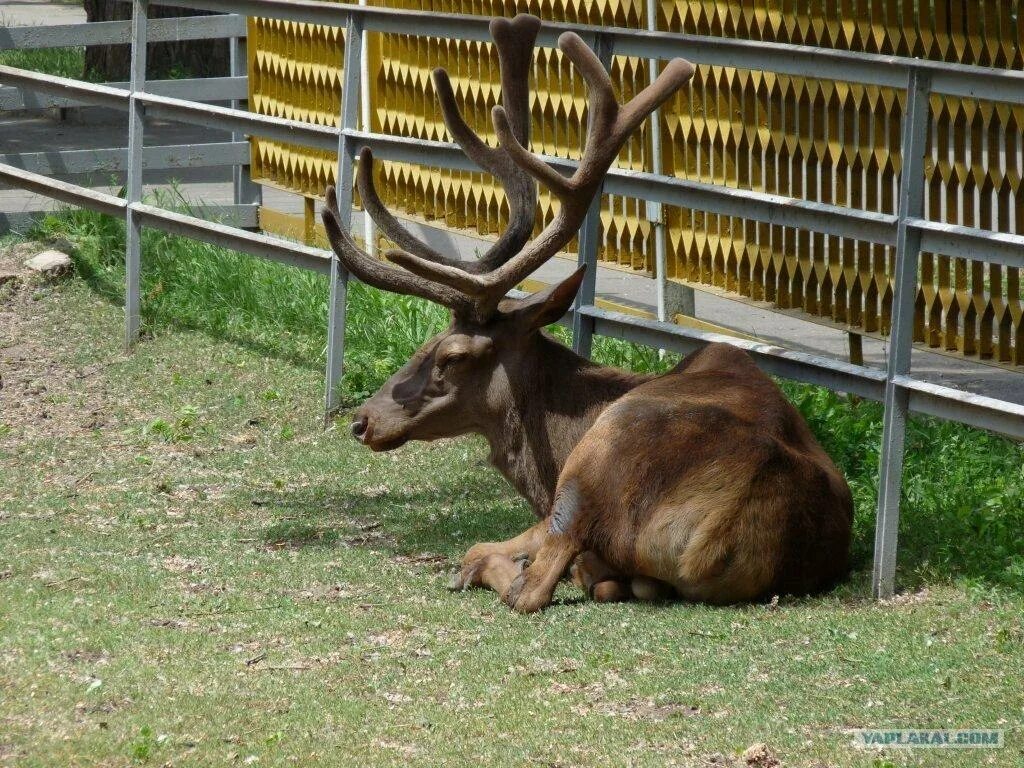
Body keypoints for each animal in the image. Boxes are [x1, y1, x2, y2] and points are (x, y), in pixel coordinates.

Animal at [321, 13, 856, 614]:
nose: (363, 421)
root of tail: (716, 532)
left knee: (528, 582)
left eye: (453, 356)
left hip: (598, 463)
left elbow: (500, 556)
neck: (551, 446)